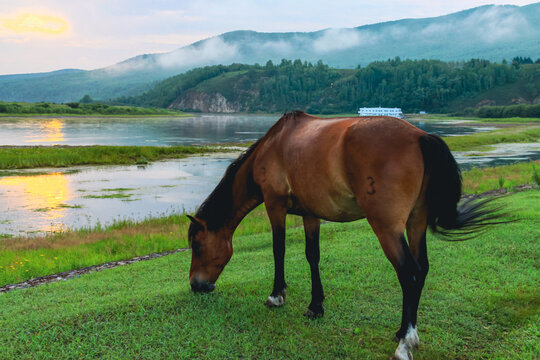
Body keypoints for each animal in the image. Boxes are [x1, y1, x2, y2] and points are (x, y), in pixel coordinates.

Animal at [187, 111, 502, 358]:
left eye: (197, 246)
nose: (196, 285)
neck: (274, 146)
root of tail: (420, 137)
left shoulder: (274, 206)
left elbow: (279, 250)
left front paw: (276, 296)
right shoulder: (311, 213)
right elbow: (312, 255)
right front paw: (315, 306)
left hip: (387, 227)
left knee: (408, 273)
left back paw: (405, 343)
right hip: (416, 221)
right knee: (422, 269)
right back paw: (402, 331)